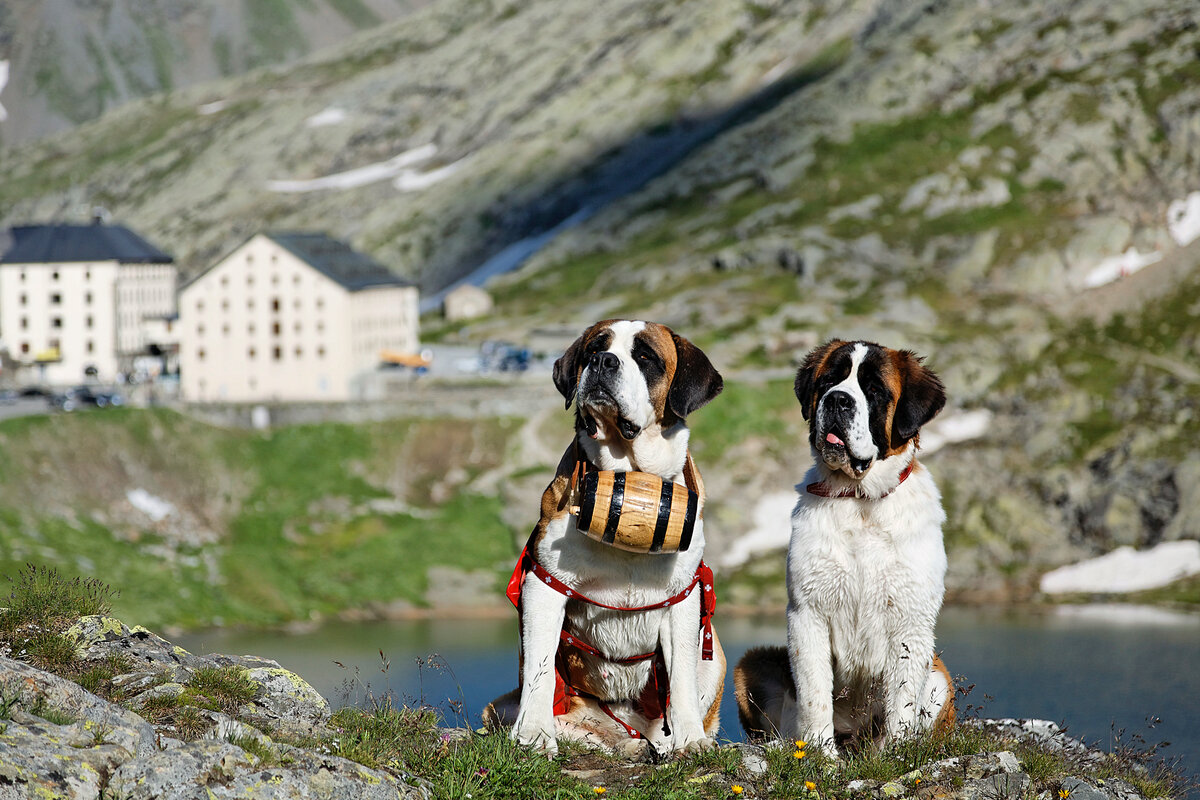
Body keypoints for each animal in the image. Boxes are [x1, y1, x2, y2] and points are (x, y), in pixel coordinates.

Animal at [482, 316, 724, 758]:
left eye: (645, 356)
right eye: (595, 348)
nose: (603, 362)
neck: (628, 474)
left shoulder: (683, 597)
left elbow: (680, 676)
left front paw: (691, 740)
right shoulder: (545, 586)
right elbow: (540, 669)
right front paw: (534, 734)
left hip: (714, 657)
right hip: (504, 708)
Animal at [729, 340, 955, 758]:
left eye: (874, 389)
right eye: (828, 382)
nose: (837, 400)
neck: (860, 500)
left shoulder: (911, 622)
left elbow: (902, 700)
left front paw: (894, 757)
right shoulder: (808, 613)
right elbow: (815, 690)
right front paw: (820, 754)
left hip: (939, 676)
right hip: (753, 662)